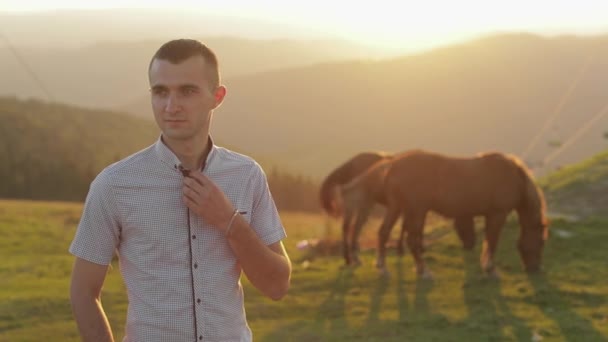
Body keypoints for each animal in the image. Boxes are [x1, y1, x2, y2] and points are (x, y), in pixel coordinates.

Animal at [372, 150, 548, 278]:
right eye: (541, 242)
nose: (534, 268)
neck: (514, 178)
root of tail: (393, 166)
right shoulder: (498, 214)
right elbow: (492, 242)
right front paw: (490, 269)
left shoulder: (491, 215)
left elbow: (488, 240)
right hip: (416, 211)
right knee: (412, 240)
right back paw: (424, 271)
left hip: (397, 208)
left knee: (384, 232)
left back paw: (383, 268)